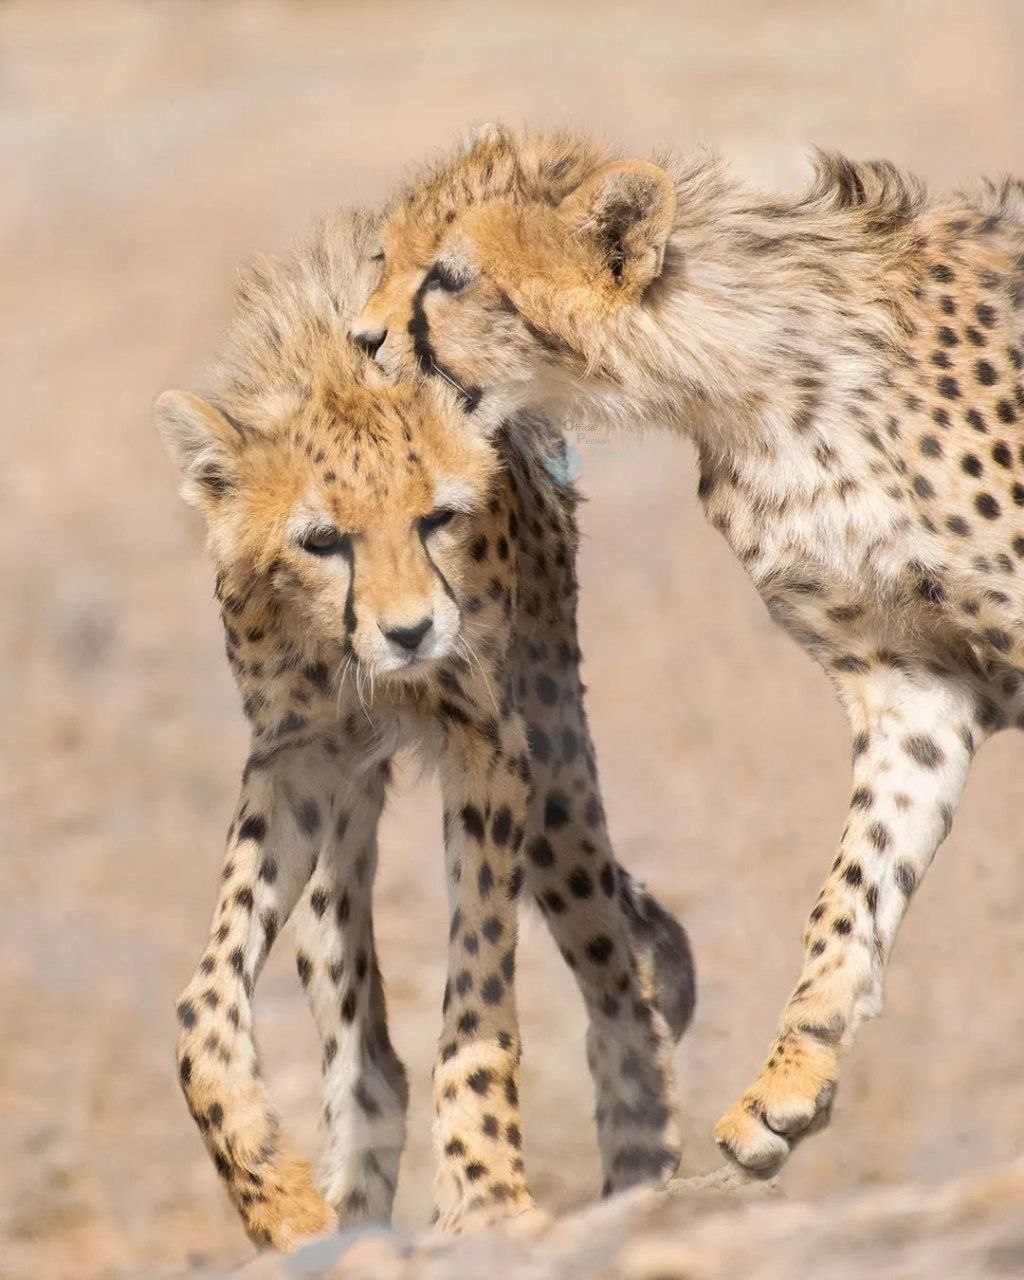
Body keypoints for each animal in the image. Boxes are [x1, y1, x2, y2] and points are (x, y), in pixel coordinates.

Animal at [154, 209, 696, 1249]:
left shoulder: (491, 749)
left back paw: (640, 1182)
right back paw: (351, 1208)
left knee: (621, 984)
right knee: (366, 1049)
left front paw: (484, 1192)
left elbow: (478, 996)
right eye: (323, 541)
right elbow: (203, 1003)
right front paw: (275, 1197)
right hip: (345, 849)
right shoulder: (299, 762)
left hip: (556, 790)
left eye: (438, 518)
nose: (409, 632)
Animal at [350, 127, 1024, 1177]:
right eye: (383, 260)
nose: (361, 339)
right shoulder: (916, 688)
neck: (753, 380)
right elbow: (855, 881)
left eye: (449, 277)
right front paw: (788, 1076)